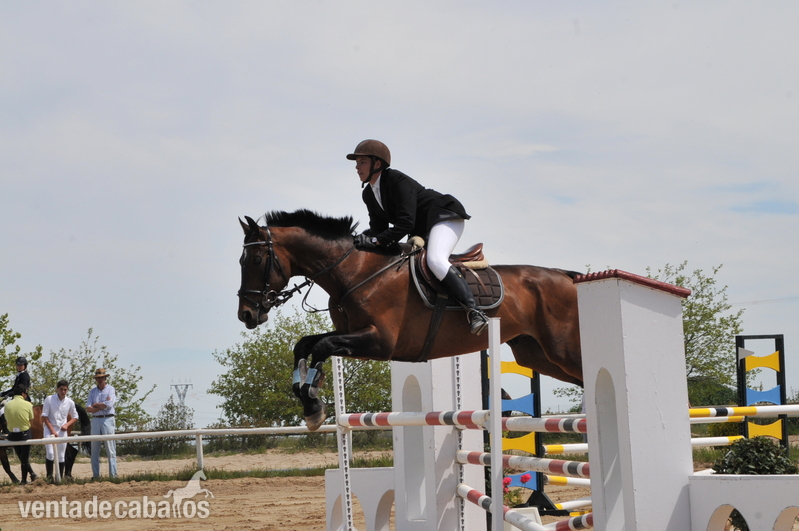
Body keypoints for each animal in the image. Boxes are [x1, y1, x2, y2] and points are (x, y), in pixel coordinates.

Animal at [237, 210, 583, 431]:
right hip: (536, 356)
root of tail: (566, 276)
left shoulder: (380, 342)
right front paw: (309, 400)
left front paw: (312, 401)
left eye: (255, 259)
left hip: (562, 351)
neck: (356, 272)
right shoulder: (354, 335)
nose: (247, 314)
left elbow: (322, 347)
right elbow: (305, 345)